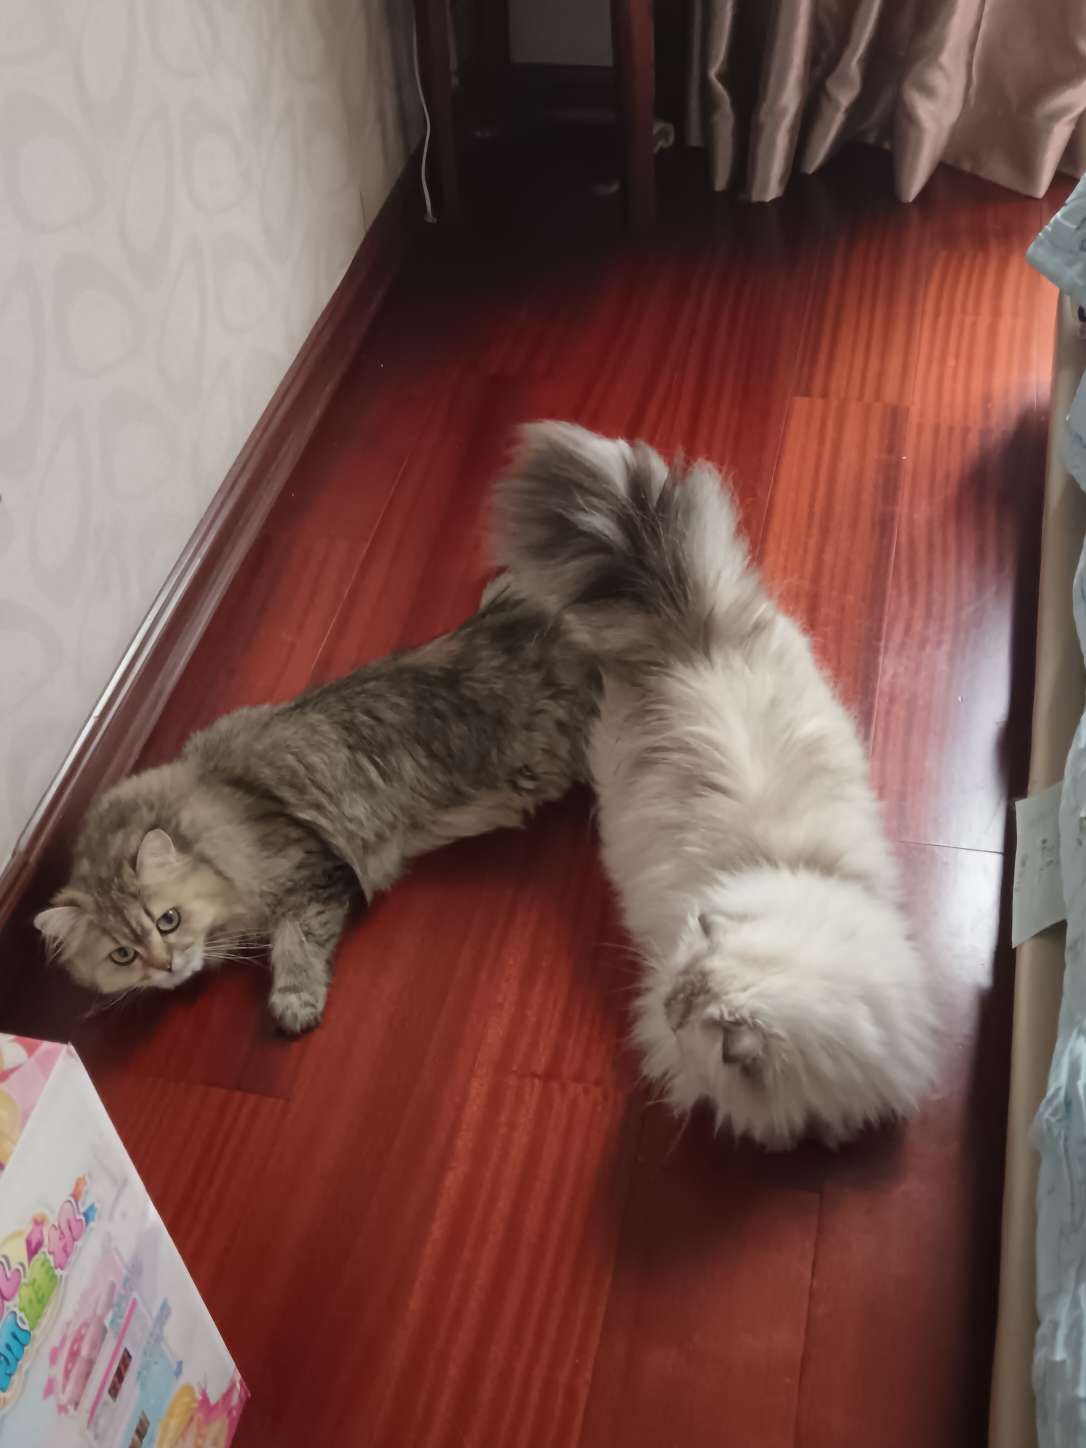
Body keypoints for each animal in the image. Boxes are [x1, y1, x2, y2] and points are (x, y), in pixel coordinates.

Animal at [35, 577, 599, 1034]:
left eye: (167, 920)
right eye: (123, 955)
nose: (165, 965)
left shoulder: (313, 872)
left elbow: (297, 945)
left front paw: (294, 1004)